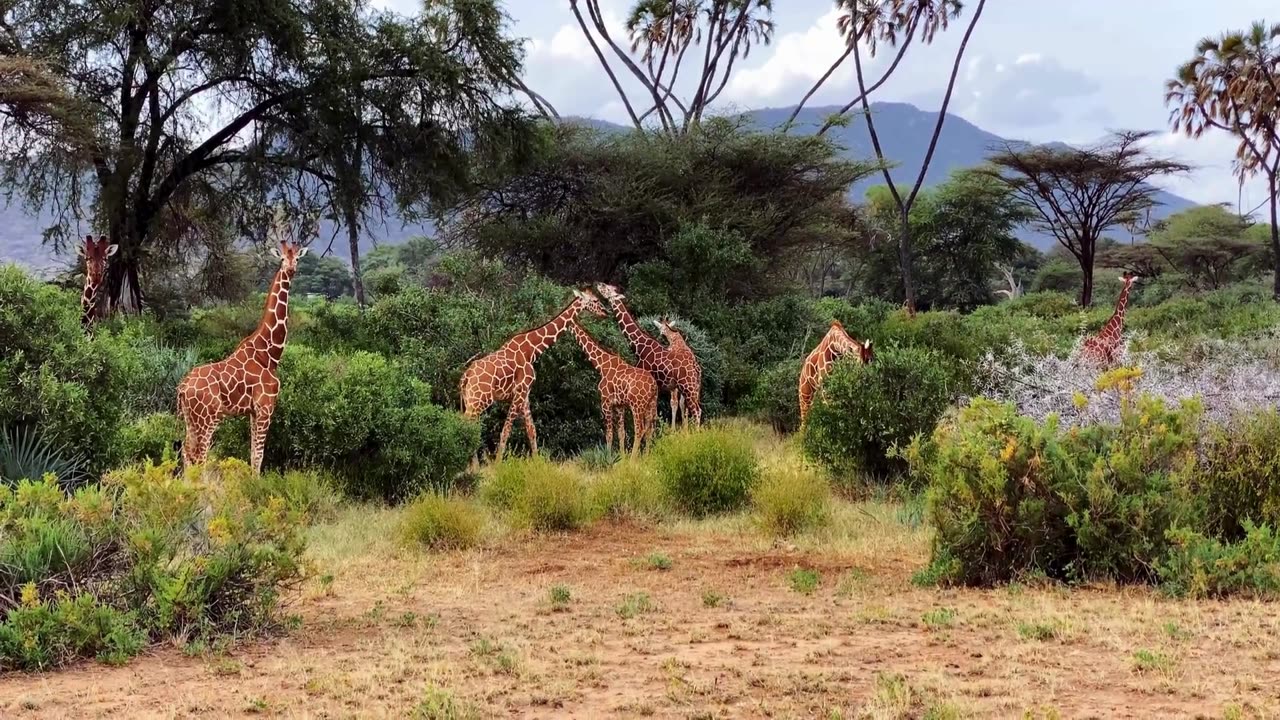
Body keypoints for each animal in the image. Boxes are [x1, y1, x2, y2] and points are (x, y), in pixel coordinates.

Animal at [176, 207, 311, 474]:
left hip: (190, 418)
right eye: (282, 259)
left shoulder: (252, 411)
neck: (268, 353)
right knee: (200, 456)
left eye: (297, 259)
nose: (291, 269)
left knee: (187, 452)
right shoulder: (265, 406)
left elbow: (252, 455)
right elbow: (258, 457)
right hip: (208, 418)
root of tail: (183, 388)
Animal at [460, 285, 609, 458]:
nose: (605, 312)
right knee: (466, 425)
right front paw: (498, 462)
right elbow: (506, 430)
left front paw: (537, 461)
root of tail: (466, 376)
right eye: (595, 300)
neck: (531, 349)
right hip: (479, 400)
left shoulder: (525, 394)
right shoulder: (519, 392)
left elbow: (531, 429)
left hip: (470, 400)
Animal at [570, 317, 660, 453]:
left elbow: (609, 434)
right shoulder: (619, 405)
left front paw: (608, 455)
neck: (602, 365)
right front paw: (621, 456)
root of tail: (653, 385)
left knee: (639, 429)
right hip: (652, 403)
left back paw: (633, 457)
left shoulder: (606, 402)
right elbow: (621, 432)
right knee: (650, 430)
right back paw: (646, 455)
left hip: (637, 404)